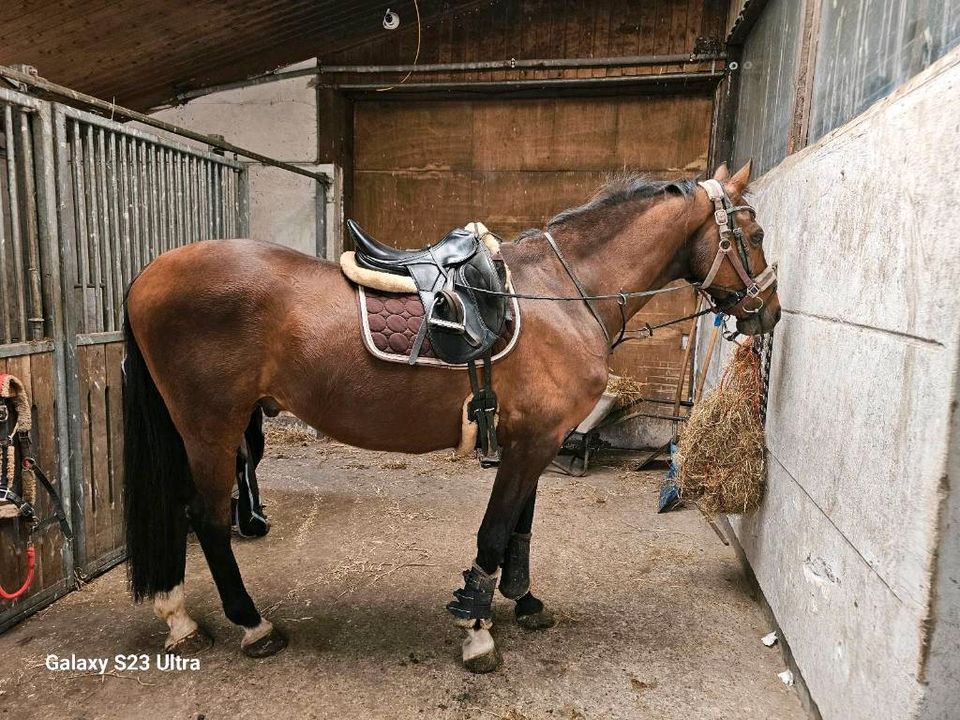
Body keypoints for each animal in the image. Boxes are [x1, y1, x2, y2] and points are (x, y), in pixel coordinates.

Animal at [122, 160, 780, 672]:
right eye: (754, 234)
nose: (769, 312)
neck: (562, 293)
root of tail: (147, 276)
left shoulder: (534, 439)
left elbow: (520, 527)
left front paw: (522, 600)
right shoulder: (533, 441)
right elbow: (496, 529)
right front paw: (477, 628)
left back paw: (179, 616)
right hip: (211, 427)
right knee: (207, 518)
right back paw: (250, 624)